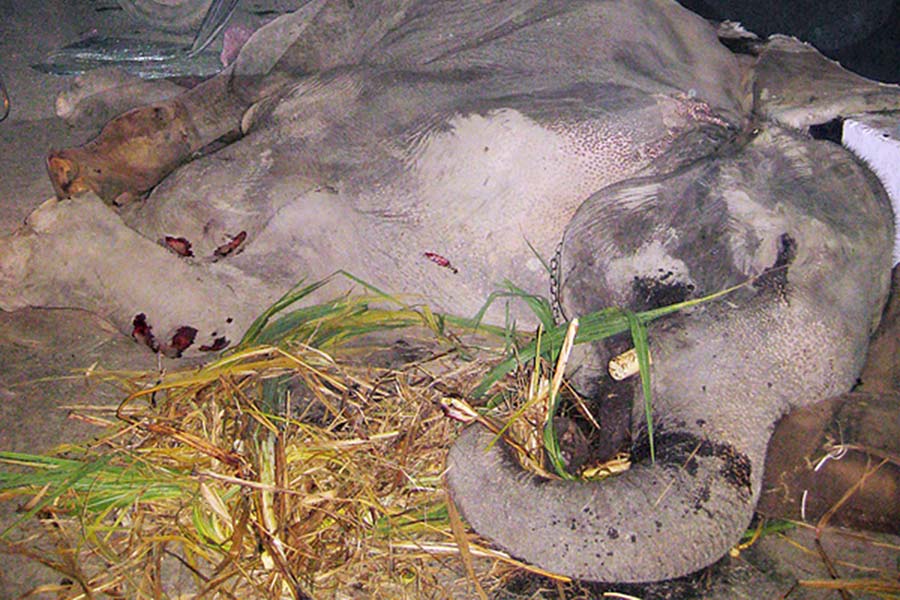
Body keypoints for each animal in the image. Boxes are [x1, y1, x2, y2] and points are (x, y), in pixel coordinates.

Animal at [1, 0, 898, 584]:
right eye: (777, 261)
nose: (492, 435)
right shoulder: (432, 112)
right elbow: (257, 156)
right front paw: (67, 235)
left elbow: (250, 302)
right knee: (256, 74)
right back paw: (82, 140)